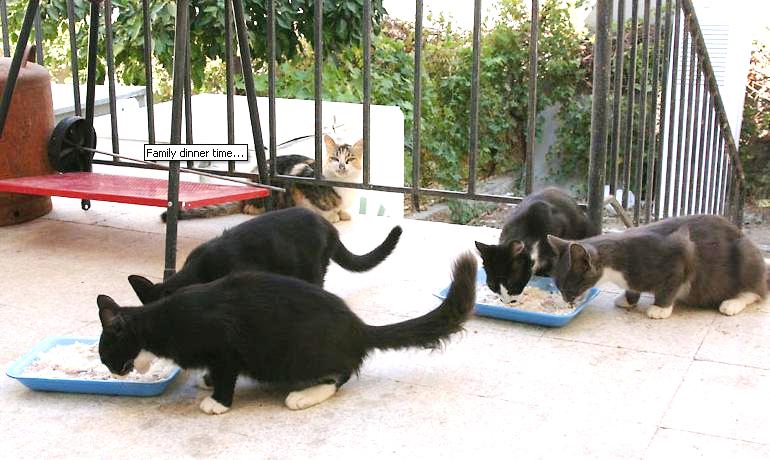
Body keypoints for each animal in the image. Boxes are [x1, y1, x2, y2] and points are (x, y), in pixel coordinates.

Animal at [98, 253, 477, 414]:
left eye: (107, 355)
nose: (112, 370)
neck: (161, 320)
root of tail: (357, 327)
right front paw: (207, 380)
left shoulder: (225, 346)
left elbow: (226, 374)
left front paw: (217, 401)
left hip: (302, 352)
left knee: (342, 374)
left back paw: (305, 396)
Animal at [163, 135, 363, 224]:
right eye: (335, 159)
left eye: (350, 159)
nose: (341, 166)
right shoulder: (299, 183)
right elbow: (318, 207)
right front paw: (332, 215)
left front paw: (341, 213)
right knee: (249, 208)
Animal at [546, 214, 768, 319]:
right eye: (558, 288)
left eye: (568, 288)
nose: (566, 301)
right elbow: (632, 288)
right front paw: (628, 300)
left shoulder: (682, 253)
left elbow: (670, 285)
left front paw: (660, 309)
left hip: (746, 255)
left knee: (757, 291)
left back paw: (732, 303)